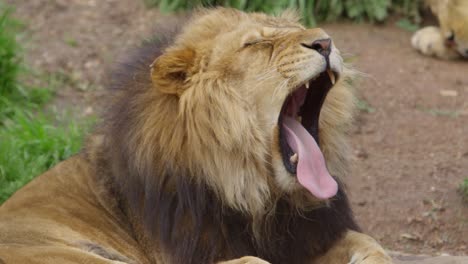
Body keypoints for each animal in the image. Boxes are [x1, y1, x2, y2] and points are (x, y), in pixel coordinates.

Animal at [0, 8, 392, 264]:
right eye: (256, 44)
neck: (257, 197)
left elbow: (370, 243)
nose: (325, 42)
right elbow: (252, 259)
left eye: (295, 28)